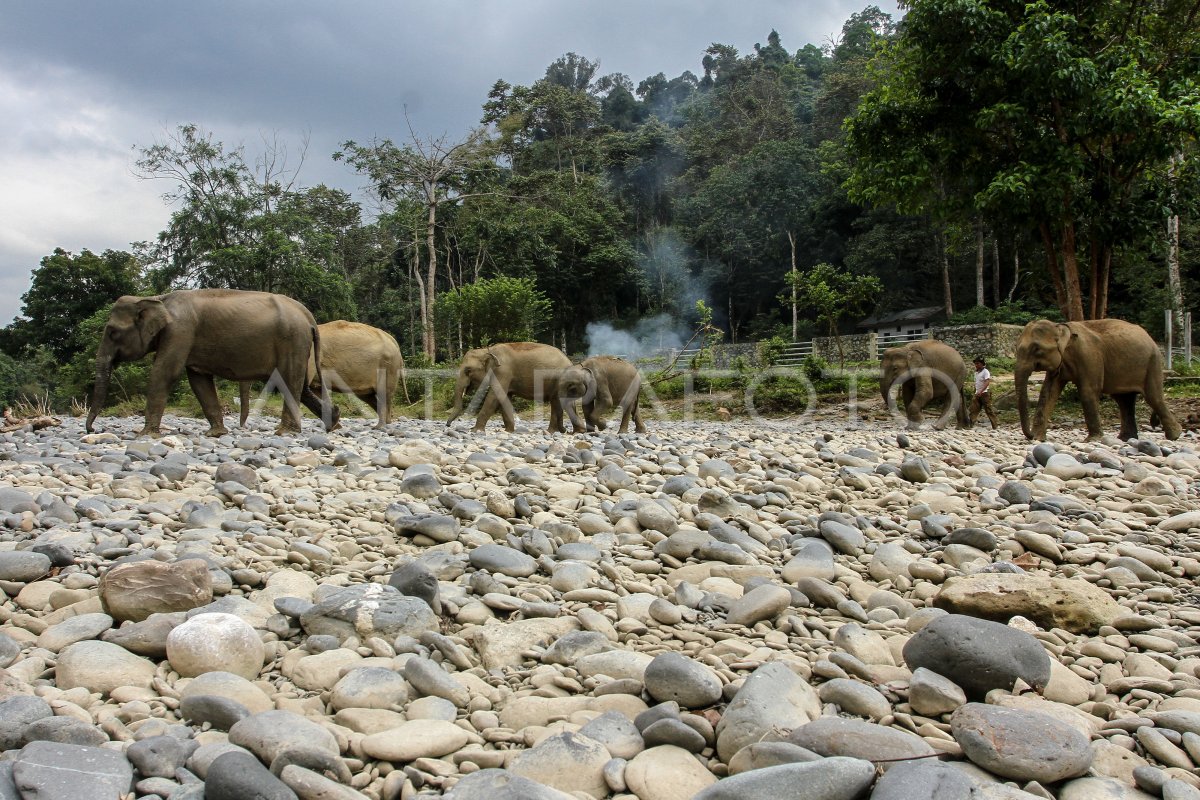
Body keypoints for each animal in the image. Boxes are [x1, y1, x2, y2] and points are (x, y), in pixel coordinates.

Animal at [87, 289, 336, 438]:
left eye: (112, 332)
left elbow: (165, 372)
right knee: (299, 385)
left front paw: (145, 435)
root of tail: (307, 315)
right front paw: (216, 433)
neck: (158, 298)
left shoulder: (180, 331)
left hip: (293, 340)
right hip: (296, 343)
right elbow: (198, 380)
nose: (92, 429)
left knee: (289, 381)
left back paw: (285, 433)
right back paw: (333, 420)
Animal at [238, 321, 408, 429]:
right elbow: (317, 391)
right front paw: (335, 424)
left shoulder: (308, 359)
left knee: (384, 394)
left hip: (387, 367)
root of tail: (395, 343)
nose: (244, 427)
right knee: (370, 397)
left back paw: (381, 426)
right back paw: (383, 424)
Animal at [1012, 316, 1180, 441]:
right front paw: (1038, 438)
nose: (1030, 435)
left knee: (1153, 397)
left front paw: (1092, 440)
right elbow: (1048, 392)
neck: (1060, 326)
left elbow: (1088, 391)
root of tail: (1150, 337)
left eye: (1036, 349)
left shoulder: (1089, 355)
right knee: (1124, 401)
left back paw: (1174, 436)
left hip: (1153, 362)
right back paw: (1125, 439)